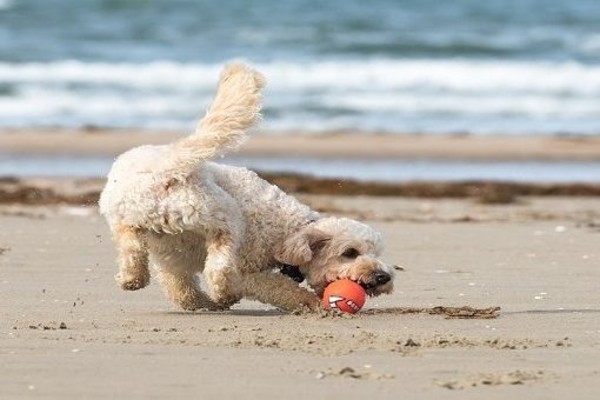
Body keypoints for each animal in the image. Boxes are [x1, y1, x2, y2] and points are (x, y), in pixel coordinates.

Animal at [99, 63, 394, 312]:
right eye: (350, 253)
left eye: (376, 253)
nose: (383, 276)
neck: (288, 232)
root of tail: (169, 164)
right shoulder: (247, 270)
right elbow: (279, 287)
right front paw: (310, 303)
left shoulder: (172, 261)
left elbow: (182, 291)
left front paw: (203, 304)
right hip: (222, 214)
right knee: (219, 263)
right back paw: (224, 292)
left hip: (125, 217)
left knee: (132, 247)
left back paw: (133, 278)